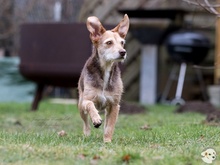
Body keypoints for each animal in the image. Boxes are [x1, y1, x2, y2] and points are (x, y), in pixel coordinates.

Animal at [77, 14, 129, 142]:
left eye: (122, 43)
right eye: (109, 42)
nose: (123, 52)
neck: (106, 69)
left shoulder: (114, 105)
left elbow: (109, 126)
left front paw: (107, 141)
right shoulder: (86, 100)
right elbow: (90, 105)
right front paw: (96, 119)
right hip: (80, 105)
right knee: (85, 123)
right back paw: (87, 133)